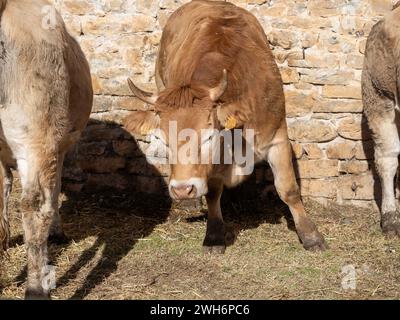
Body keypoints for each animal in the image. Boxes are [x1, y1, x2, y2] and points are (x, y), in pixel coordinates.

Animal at [126, 1, 328, 254]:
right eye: (164, 141)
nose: (182, 189)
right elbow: (213, 193)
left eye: (208, 137)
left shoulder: (278, 136)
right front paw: (214, 235)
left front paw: (311, 236)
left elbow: (288, 189)